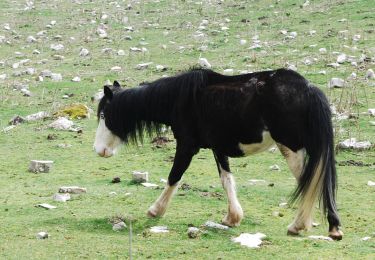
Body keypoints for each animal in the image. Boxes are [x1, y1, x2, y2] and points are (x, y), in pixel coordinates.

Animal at [94, 68, 344, 240]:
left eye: (104, 115)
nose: (99, 150)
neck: (181, 98)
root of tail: (309, 88)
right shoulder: (218, 148)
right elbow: (226, 180)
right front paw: (232, 218)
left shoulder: (187, 146)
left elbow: (174, 176)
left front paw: (155, 211)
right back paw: (330, 227)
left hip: (291, 148)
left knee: (311, 182)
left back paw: (299, 225)